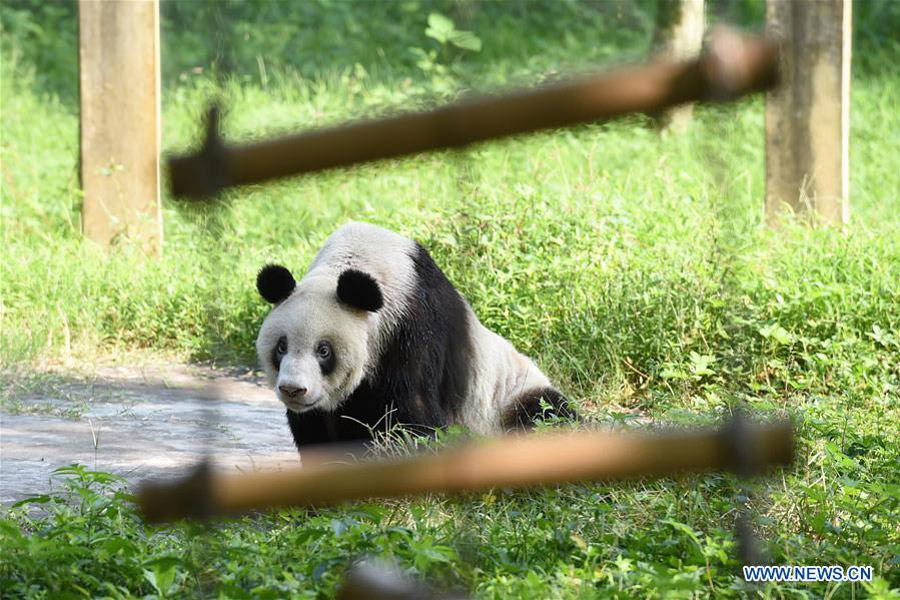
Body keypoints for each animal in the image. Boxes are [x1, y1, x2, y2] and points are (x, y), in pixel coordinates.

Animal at [255, 221, 575, 450]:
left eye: (324, 351)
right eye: (281, 347)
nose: (293, 389)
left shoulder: (411, 327)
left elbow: (413, 415)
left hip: (507, 398)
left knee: (545, 414)